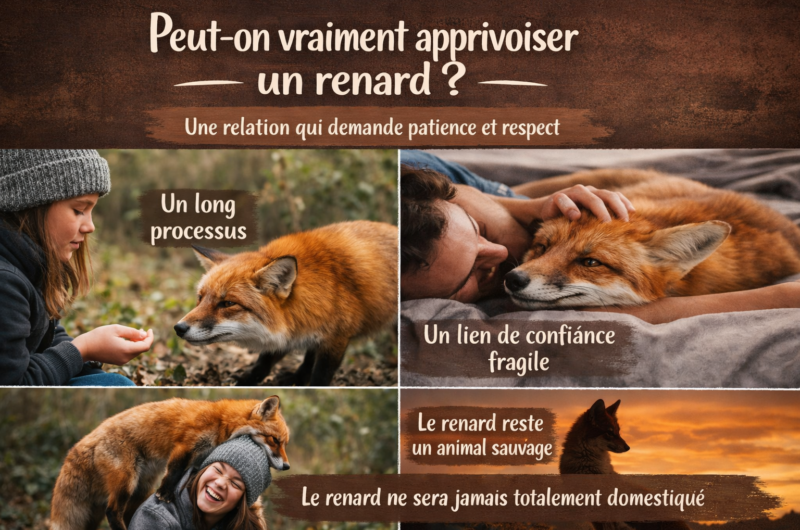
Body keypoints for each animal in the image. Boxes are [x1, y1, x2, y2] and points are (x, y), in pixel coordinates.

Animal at [50, 396, 290, 530]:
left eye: (284, 443)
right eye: (275, 440)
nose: (287, 467)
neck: (222, 423)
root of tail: (84, 442)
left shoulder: (199, 457)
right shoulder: (185, 445)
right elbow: (174, 472)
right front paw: (165, 493)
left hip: (140, 486)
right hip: (126, 482)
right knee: (113, 511)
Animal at [174, 220, 398, 386]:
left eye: (228, 303)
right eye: (200, 298)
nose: (179, 328)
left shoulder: (337, 337)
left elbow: (321, 375)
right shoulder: (292, 328)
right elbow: (264, 362)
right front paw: (246, 381)